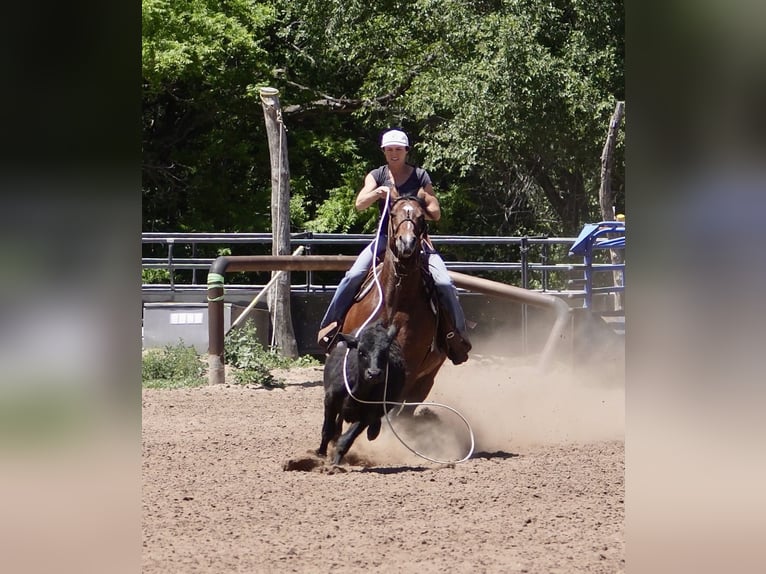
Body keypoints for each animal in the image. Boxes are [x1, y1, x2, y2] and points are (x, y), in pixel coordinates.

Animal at [340, 197, 448, 404]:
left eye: (421, 216)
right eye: (393, 214)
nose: (406, 242)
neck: (394, 302)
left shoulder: (409, 368)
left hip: (426, 380)